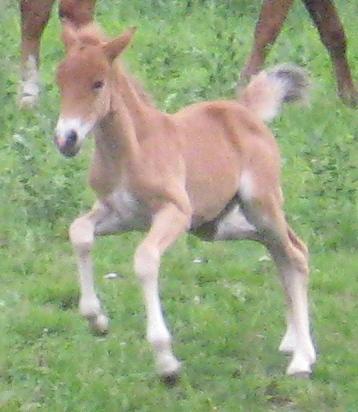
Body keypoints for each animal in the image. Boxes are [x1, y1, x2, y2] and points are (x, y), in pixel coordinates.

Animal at [53, 25, 316, 380]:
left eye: (98, 83)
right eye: (60, 80)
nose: (66, 139)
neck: (131, 151)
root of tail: (245, 111)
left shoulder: (176, 212)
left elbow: (145, 259)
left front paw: (166, 363)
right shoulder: (119, 214)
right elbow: (79, 232)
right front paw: (97, 320)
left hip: (261, 205)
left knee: (295, 255)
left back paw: (302, 358)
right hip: (219, 225)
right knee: (283, 253)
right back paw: (292, 341)